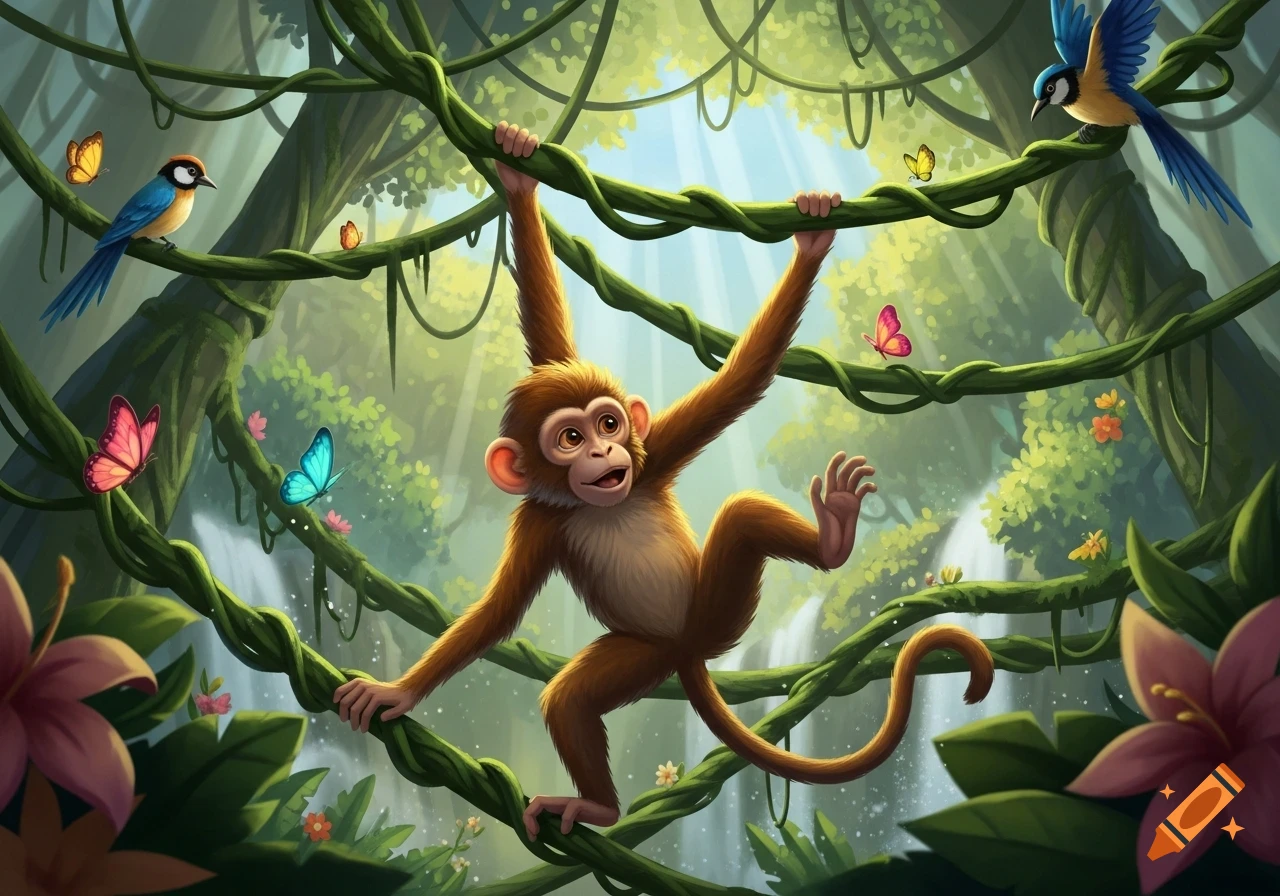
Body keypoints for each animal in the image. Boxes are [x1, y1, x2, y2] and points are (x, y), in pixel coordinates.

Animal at [335, 121, 995, 841]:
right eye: (570, 439)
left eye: (608, 423)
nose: (604, 453)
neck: (599, 500)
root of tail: (689, 652)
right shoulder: (539, 520)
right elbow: (496, 614)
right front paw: (398, 692)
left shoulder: (652, 456)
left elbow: (738, 382)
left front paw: (519, 180)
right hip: (645, 653)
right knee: (570, 698)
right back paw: (599, 805)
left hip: (716, 608)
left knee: (740, 517)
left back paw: (833, 538)